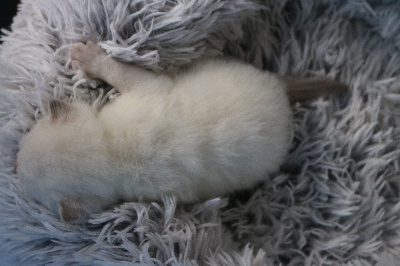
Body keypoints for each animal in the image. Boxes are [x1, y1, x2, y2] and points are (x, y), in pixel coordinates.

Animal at [14, 40, 346, 221]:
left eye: (20, 151)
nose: (13, 164)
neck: (110, 150)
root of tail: (279, 88)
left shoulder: (147, 91)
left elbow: (121, 71)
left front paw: (89, 58)